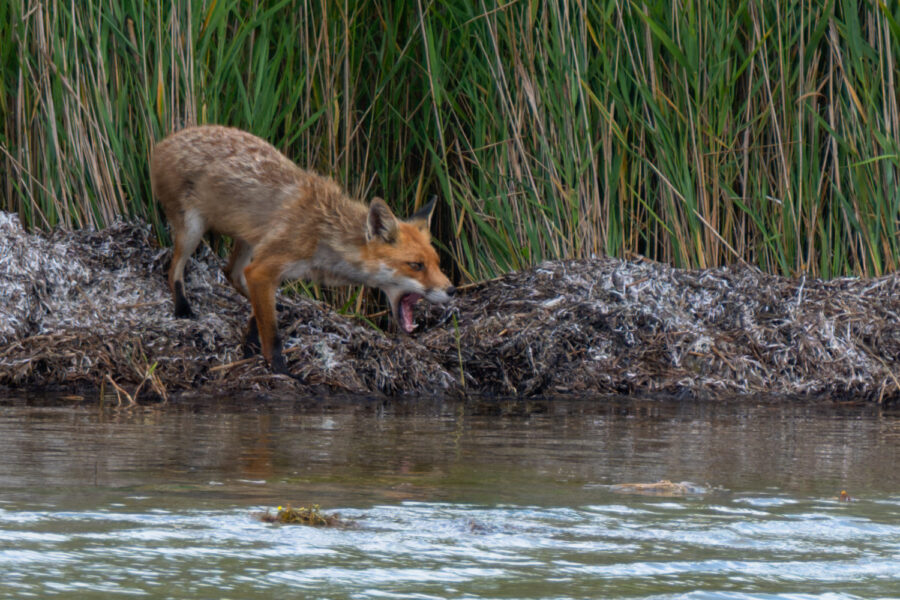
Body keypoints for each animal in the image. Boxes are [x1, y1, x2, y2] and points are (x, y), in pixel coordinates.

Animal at [150, 125, 455, 375]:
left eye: (438, 263)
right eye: (416, 265)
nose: (452, 290)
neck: (323, 233)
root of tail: (164, 141)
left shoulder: (263, 269)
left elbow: (262, 315)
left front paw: (251, 341)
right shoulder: (264, 268)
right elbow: (273, 335)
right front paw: (280, 371)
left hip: (249, 239)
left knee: (231, 273)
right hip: (192, 229)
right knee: (174, 269)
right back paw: (182, 308)